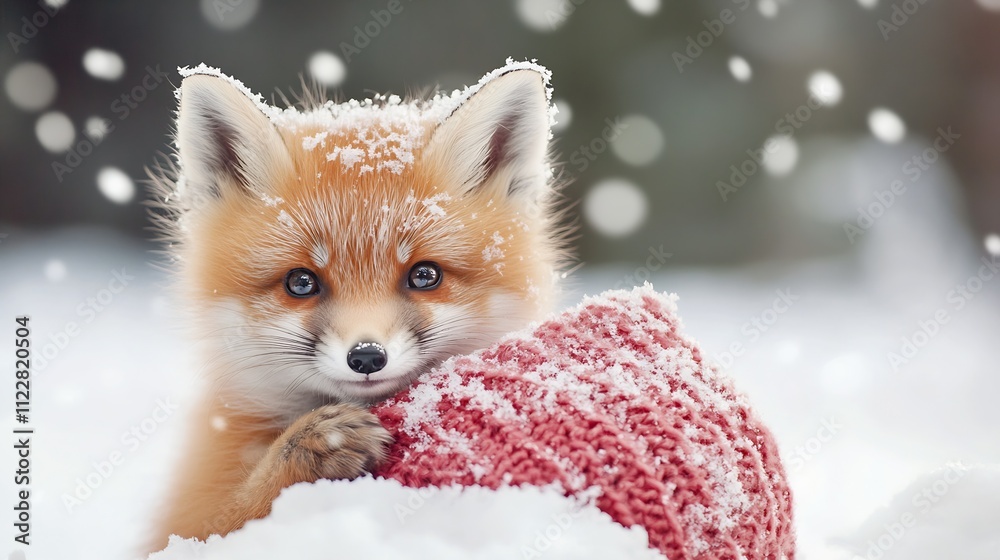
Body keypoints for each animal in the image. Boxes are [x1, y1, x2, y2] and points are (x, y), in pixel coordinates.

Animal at [147, 62, 568, 552]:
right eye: (301, 282)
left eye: (425, 275)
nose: (367, 357)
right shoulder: (181, 524)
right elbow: (229, 519)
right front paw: (312, 445)